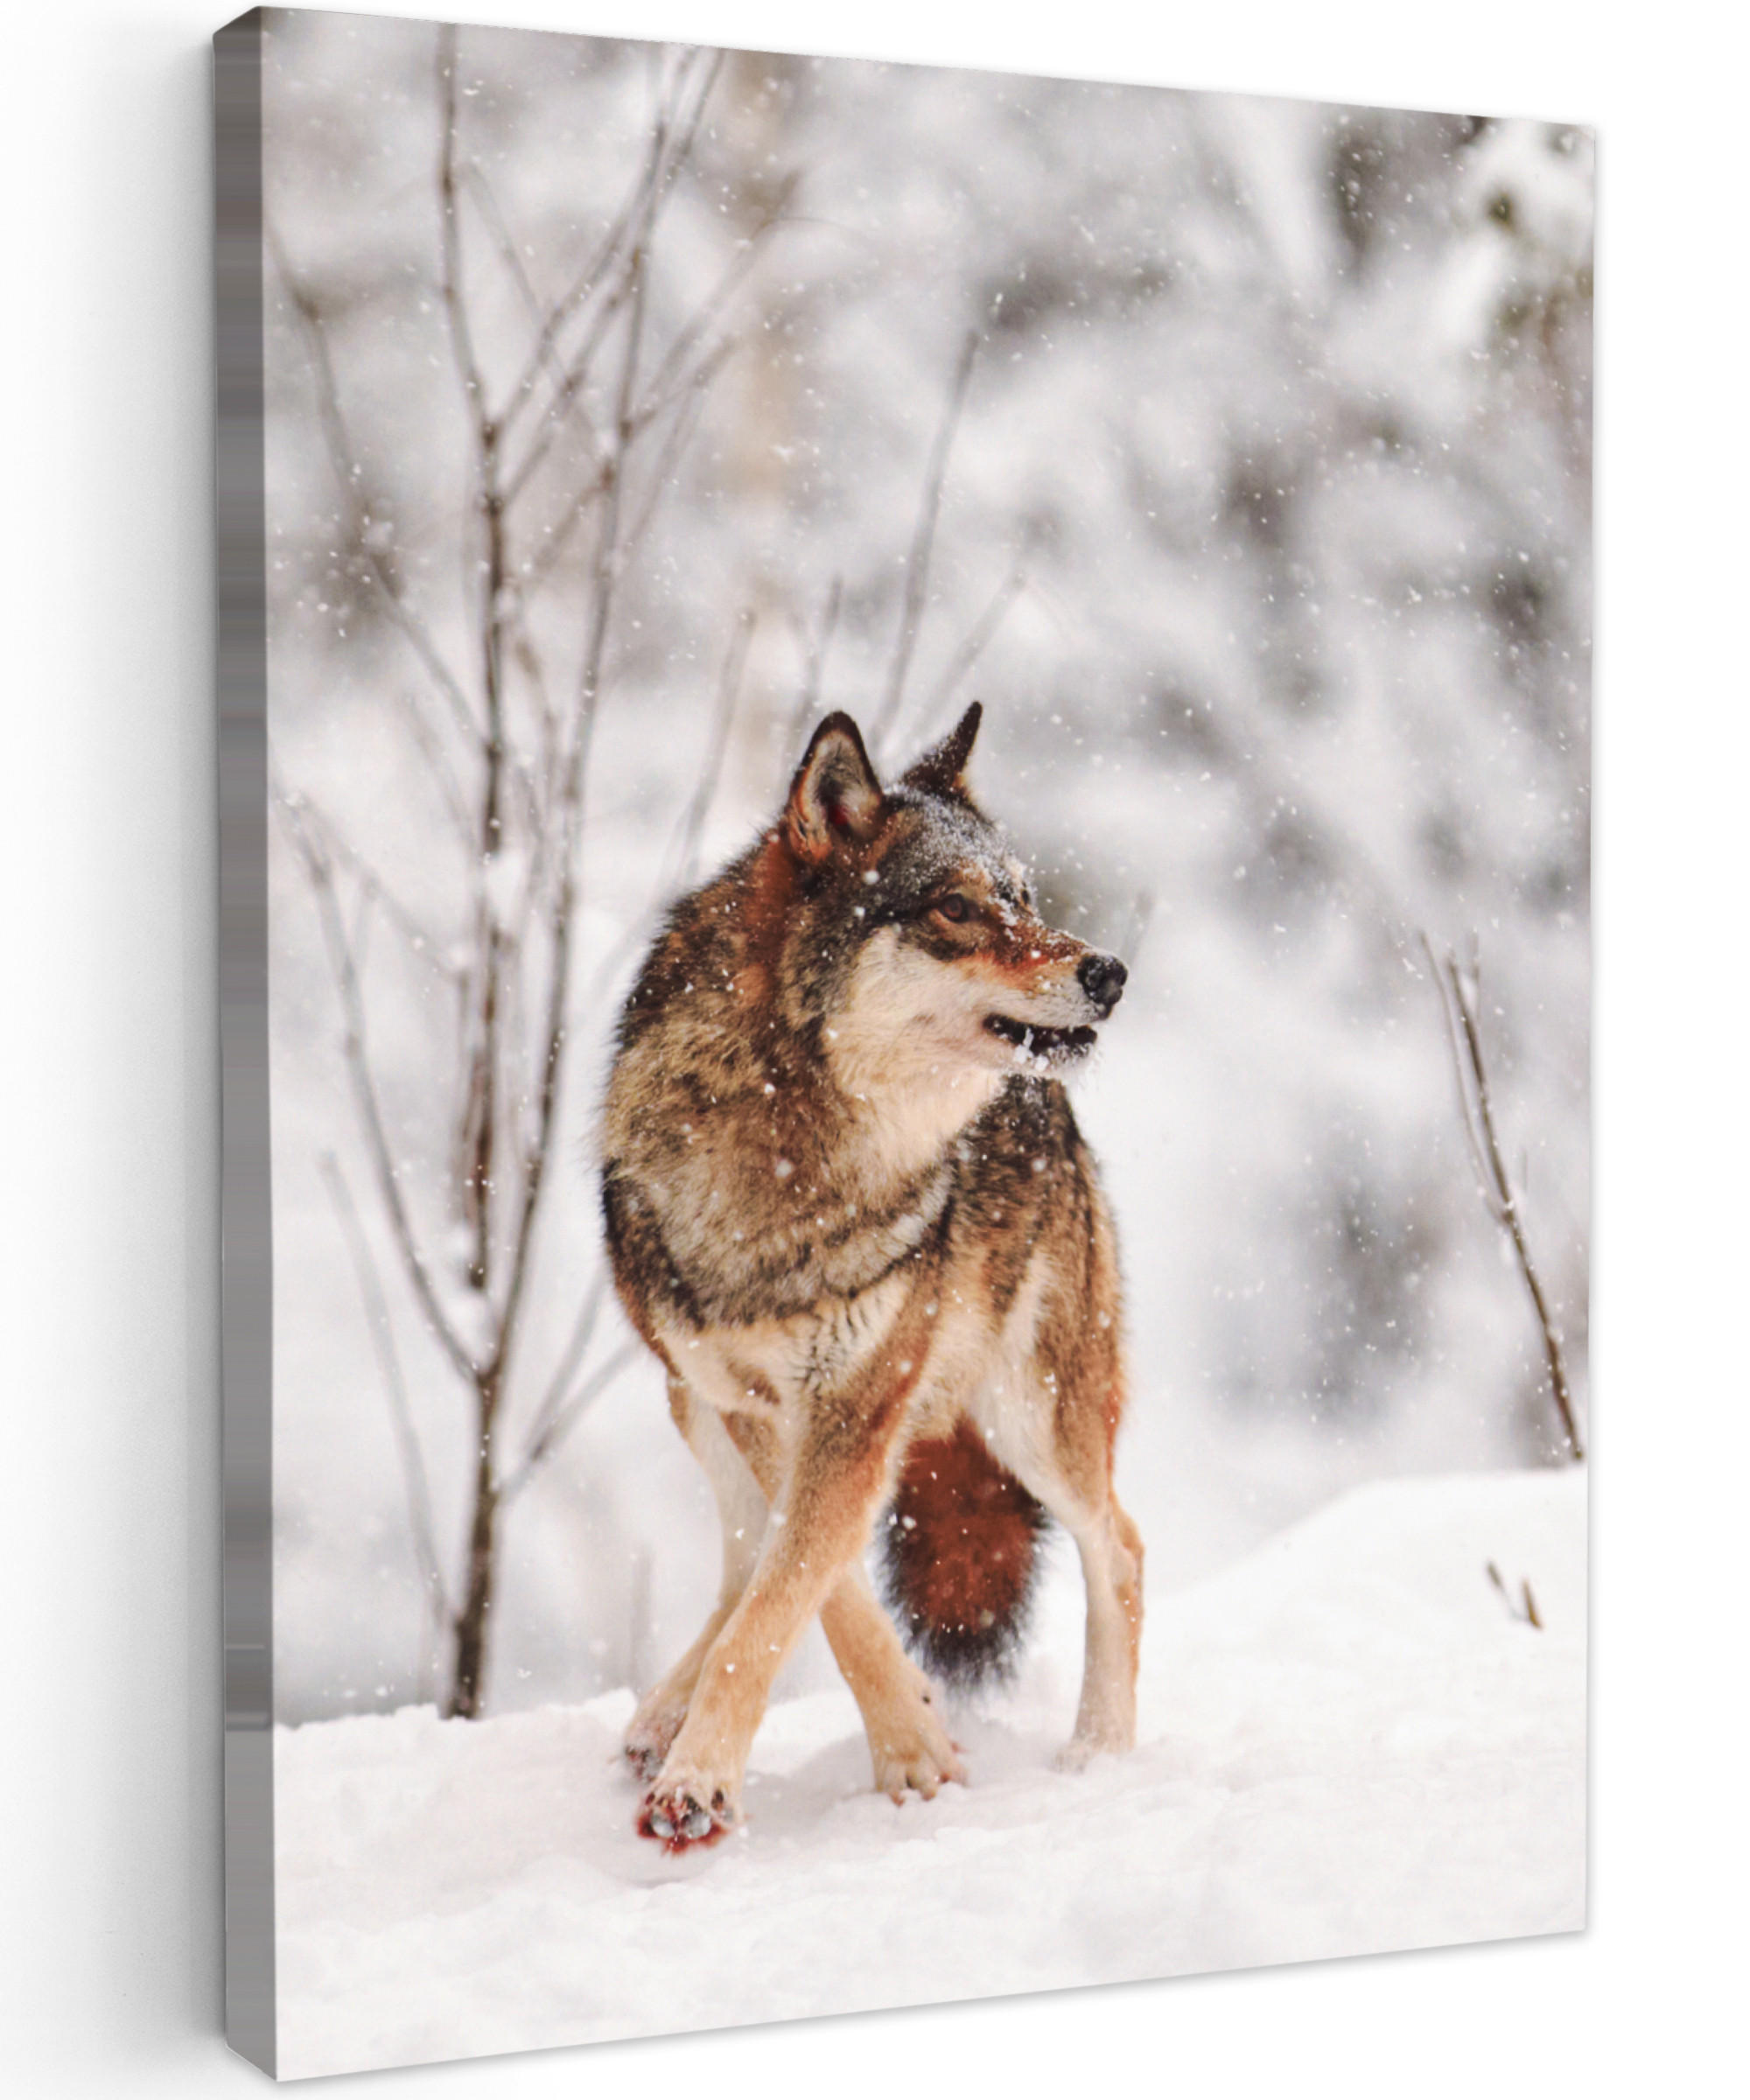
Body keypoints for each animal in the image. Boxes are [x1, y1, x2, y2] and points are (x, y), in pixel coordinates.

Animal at [601, 702, 1141, 1851]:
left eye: (1024, 897)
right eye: (956, 908)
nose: (1109, 973)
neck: (791, 1150)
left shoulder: (854, 1404)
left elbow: (787, 1596)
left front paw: (703, 1784)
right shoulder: (761, 1405)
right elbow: (812, 1589)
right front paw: (912, 1746)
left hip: (1034, 1417)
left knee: (1118, 1545)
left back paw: (1100, 1755)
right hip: (692, 1406)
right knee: (740, 1555)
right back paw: (659, 1718)